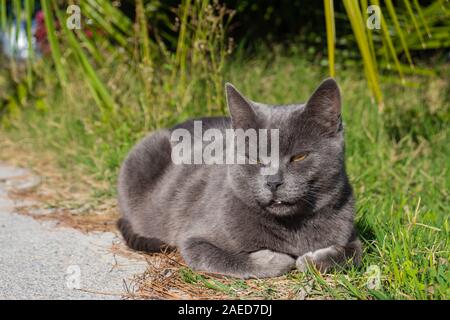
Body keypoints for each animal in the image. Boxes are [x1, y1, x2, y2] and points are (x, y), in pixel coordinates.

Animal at [117, 79, 362, 278]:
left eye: (299, 156)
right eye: (254, 157)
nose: (273, 182)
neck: (293, 227)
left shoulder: (350, 232)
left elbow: (354, 253)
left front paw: (310, 260)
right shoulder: (194, 239)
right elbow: (227, 258)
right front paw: (280, 258)